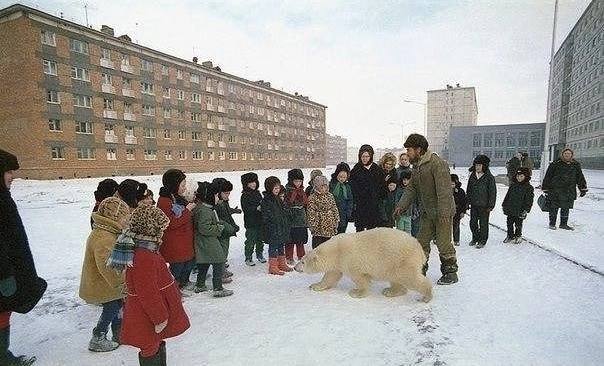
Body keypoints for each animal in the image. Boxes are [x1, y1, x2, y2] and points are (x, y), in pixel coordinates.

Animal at [294, 229, 432, 304]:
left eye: (303, 262)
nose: (295, 267)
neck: (335, 250)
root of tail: (420, 249)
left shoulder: (349, 259)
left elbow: (360, 278)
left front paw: (356, 292)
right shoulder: (338, 263)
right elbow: (331, 276)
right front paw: (314, 286)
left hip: (401, 260)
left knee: (410, 277)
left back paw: (426, 296)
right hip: (393, 264)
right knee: (395, 278)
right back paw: (390, 291)